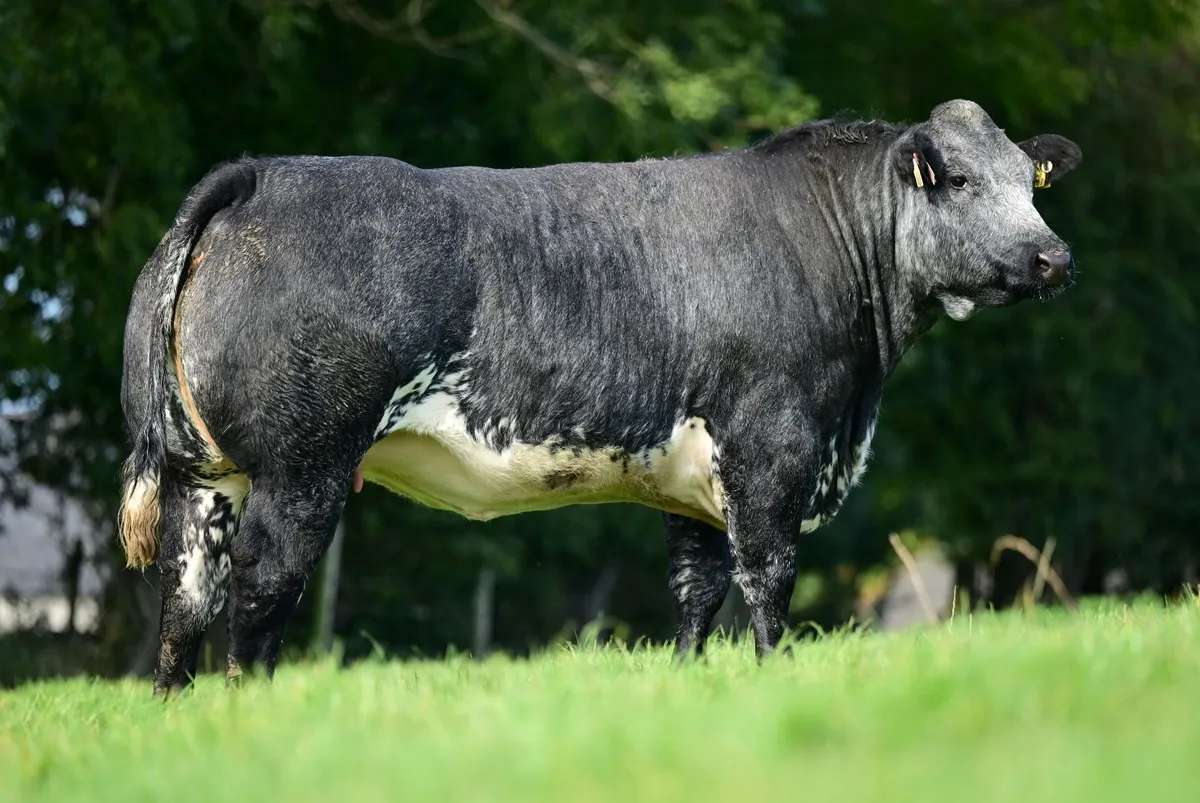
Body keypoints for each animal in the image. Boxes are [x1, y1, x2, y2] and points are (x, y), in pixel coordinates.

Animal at [118, 99, 1081, 696]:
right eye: (960, 180)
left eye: (1027, 180)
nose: (1054, 258)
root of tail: (262, 173)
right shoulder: (771, 450)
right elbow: (768, 584)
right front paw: (773, 680)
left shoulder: (695, 483)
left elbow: (695, 596)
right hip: (304, 467)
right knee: (261, 588)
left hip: (205, 476)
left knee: (185, 601)